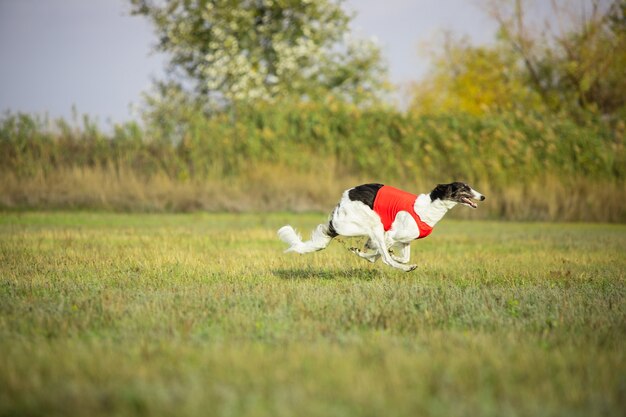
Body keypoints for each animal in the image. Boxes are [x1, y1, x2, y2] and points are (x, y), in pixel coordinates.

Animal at [276, 180, 486, 272]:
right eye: (465, 188)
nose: (483, 196)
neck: (427, 208)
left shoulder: (405, 239)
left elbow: (398, 254)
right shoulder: (390, 234)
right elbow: (382, 254)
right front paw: (395, 260)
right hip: (372, 223)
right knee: (384, 257)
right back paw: (405, 268)